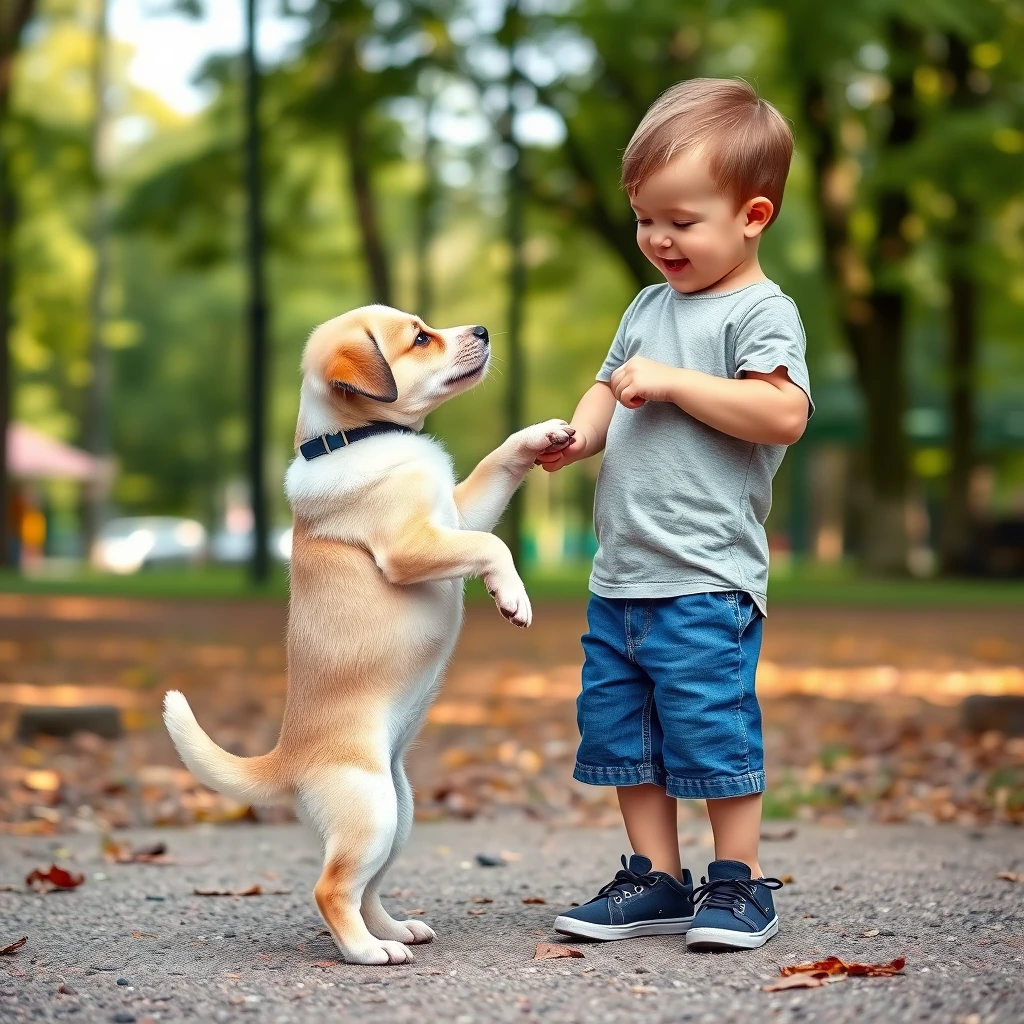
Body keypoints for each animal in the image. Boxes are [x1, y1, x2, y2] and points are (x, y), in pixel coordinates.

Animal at [163, 301, 573, 958]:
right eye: (421, 338)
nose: (483, 330)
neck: (356, 437)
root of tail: (286, 760)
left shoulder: (458, 514)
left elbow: (495, 470)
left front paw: (540, 436)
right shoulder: (412, 547)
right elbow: (493, 546)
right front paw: (512, 595)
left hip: (398, 816)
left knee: (366, 891)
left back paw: (396, 931)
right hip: (373, 810)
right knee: (331, 891)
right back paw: (367, 952)